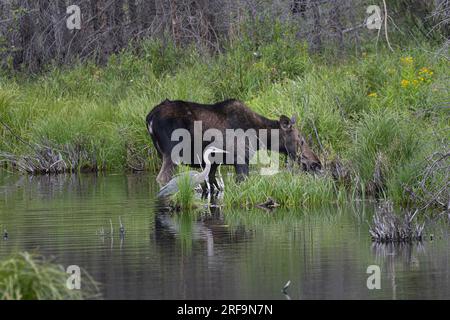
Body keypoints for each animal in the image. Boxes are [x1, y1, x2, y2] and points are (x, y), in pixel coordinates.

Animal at [146, 99, 322, 190]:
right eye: (301, 140)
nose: (316, 163)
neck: (260, 137)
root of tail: (150, 118)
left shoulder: (214, 163)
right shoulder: (241, 159)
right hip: (172, 154)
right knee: (162, 178)